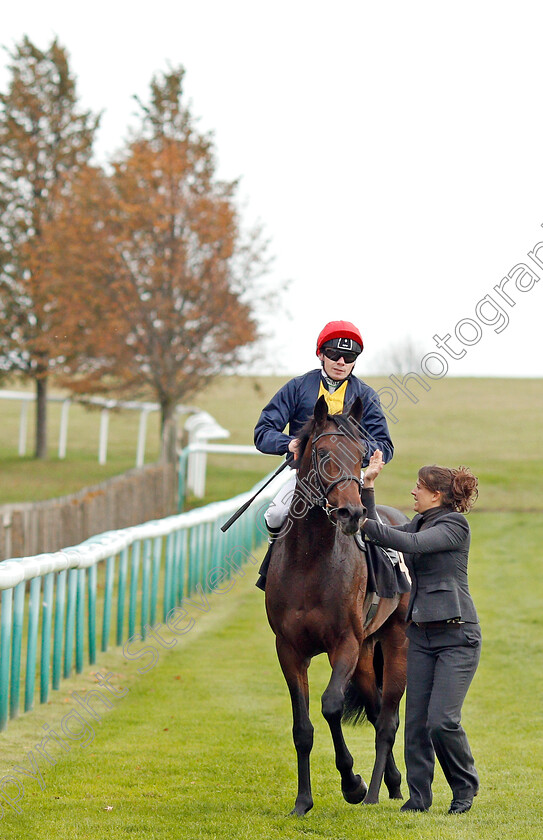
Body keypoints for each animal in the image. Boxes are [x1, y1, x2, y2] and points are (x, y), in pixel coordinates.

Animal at [266, 398, 410, 816]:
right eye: (324, 455)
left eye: (361, 454)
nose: (352, 513)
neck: (309, 563)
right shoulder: (289, 649)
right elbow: (302, 728)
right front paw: (302, 801)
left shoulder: (344, 642)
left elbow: (331, 705)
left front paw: (352, 783)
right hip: (365, 654)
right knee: (376, 709)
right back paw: (392, 782)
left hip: (396, 641)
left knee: (388, 720)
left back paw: (379, 789)